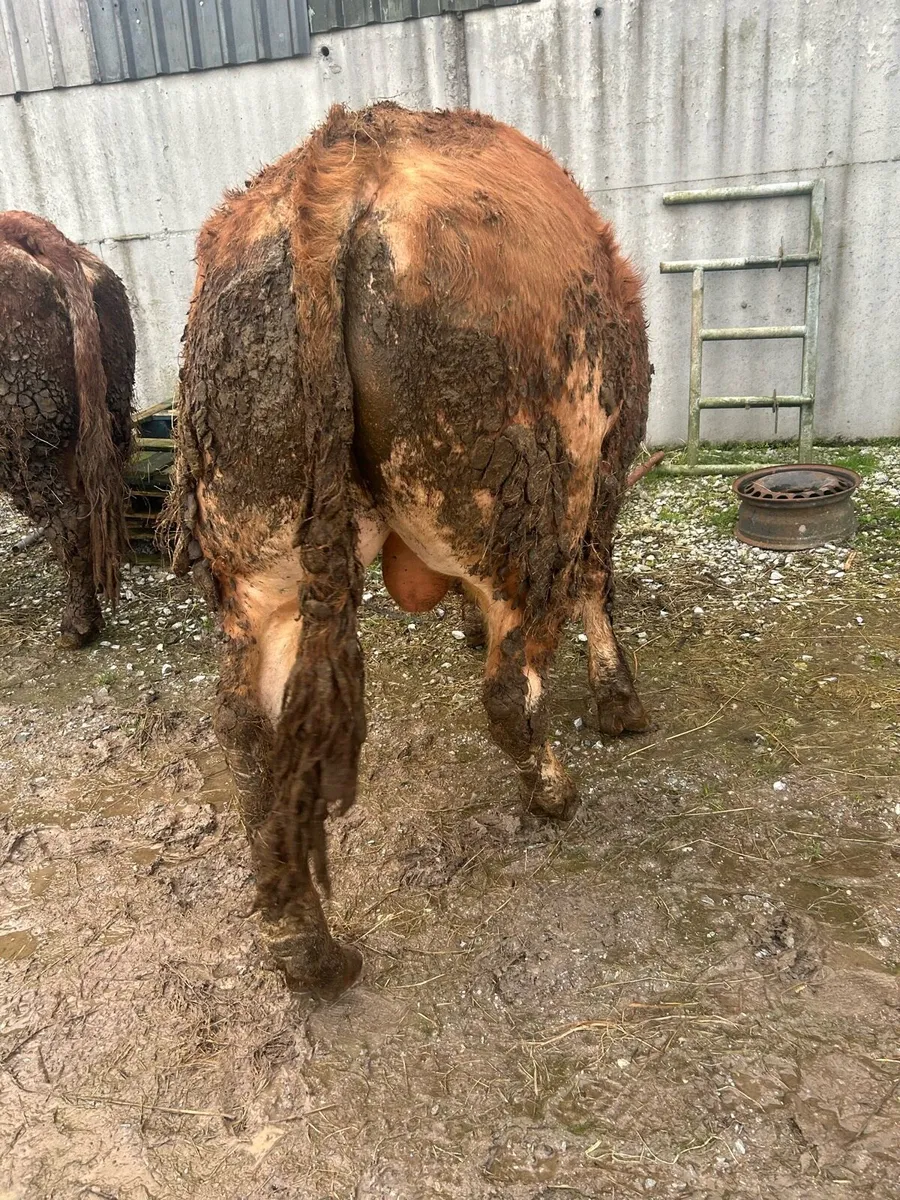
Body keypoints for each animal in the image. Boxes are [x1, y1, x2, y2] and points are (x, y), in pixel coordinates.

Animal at [172, 103, 652, 998]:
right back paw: (553, 790)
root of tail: (340, 161)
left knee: (245, 729)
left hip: (257, 547)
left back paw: (307, 949)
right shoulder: (603, 470)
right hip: (524, 505)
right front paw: (619, 700)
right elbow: (596, 580)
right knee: (510, 689)